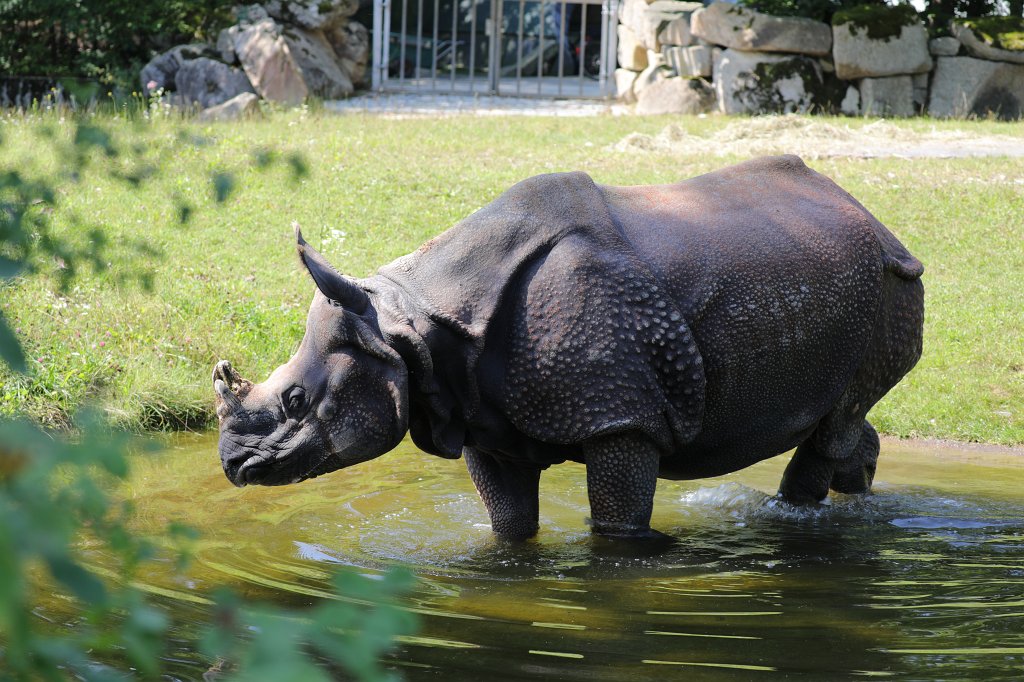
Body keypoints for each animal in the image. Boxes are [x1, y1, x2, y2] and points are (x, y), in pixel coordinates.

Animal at [214, 155, 924, 540]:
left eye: (296, 399)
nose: (232, 466)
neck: (404, 326)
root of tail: (877, 219)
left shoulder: (622, 417)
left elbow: (617, 522)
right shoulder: (479, 413)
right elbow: (509, 522)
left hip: (888, 285)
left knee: (839, 416)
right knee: (843, 418)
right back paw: (859, 495)